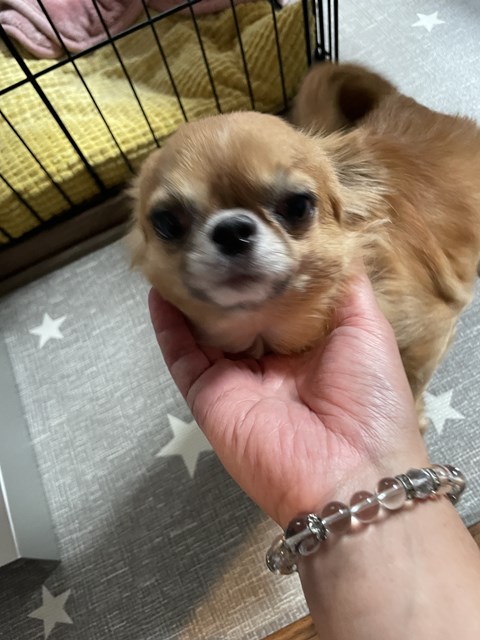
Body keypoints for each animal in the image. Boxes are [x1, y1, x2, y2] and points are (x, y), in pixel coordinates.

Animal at [129, 63, 480, 429]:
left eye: (297, 205)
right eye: (166, 223)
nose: (232, 230)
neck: (273, 329)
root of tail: (407, 104)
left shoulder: (430, 332)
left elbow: (411, 382)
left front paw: (416, 417)